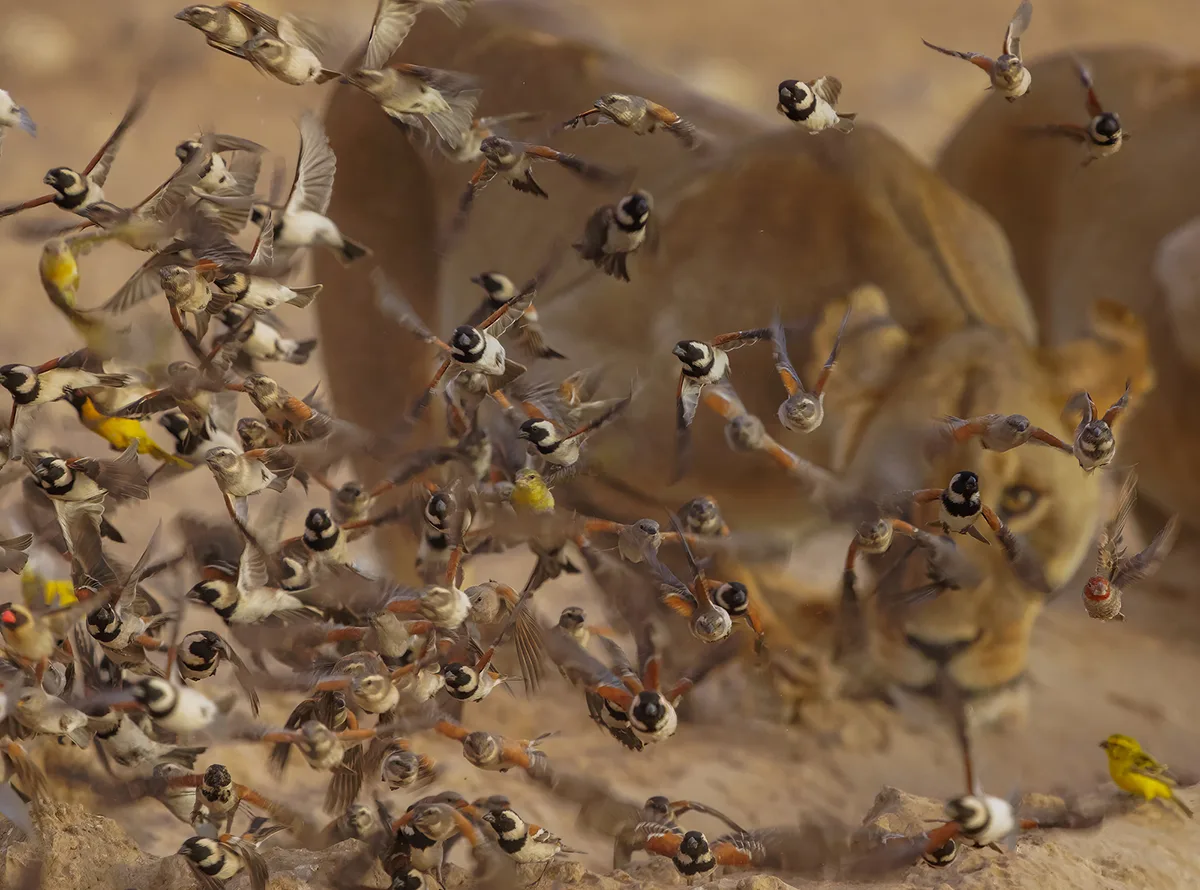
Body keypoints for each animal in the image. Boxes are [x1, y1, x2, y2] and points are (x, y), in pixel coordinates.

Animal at [313, 0, 1150, 725]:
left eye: (1024, 501)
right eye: (894, 511)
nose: (939, 652)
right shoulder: (571, 397)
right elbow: (685, 556)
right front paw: (779, 666)